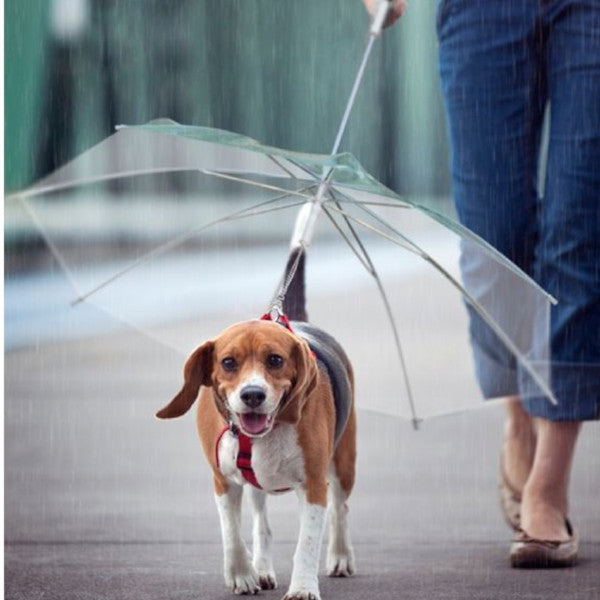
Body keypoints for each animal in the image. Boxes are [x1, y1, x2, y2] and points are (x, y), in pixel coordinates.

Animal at [157, 248, 358, 600]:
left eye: (275, 360)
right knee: (262, 525)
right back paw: (262, 569)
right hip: (256, 485)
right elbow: (232, 533)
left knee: (339, 510)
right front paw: (242, 575)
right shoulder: (223, 480)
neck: (267, 432)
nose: (252, 394)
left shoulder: (314, 484)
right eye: (228, 362)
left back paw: (340, 555)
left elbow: (307, 543)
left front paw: (302, 588)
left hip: (343, 464)